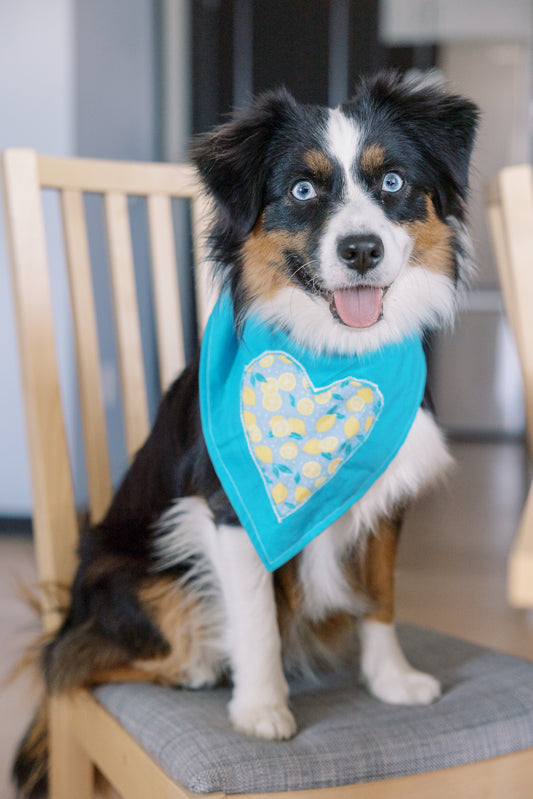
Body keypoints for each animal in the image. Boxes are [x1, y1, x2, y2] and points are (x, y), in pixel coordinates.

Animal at [13, 72, 478, 796]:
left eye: (393, 181)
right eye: (303, 190)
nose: (361, 250)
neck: (333, 352)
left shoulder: (388, 493)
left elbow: (381, 593)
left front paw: (391, 679)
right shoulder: (228, 508)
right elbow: (256, 615)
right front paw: (261, 709)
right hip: (137, 575)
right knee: (71, 657)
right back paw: (197, 663)